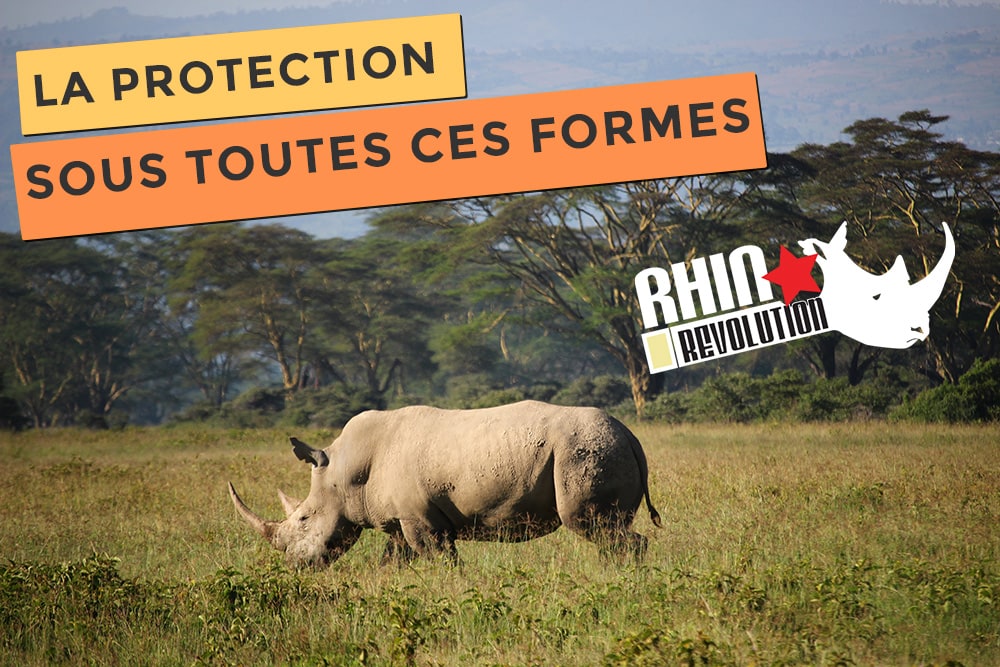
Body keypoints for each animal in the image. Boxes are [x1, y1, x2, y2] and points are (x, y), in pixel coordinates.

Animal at [229, 400, 661, 568]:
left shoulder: (422, 520)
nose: (293, 566)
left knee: (593, 525)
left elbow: (441, 560)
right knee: (606, 530)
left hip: (583, 452)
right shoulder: (400, 520)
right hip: (599, 448)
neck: (344, 472)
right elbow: (393, 561)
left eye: (303, 518)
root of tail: (630, 436)